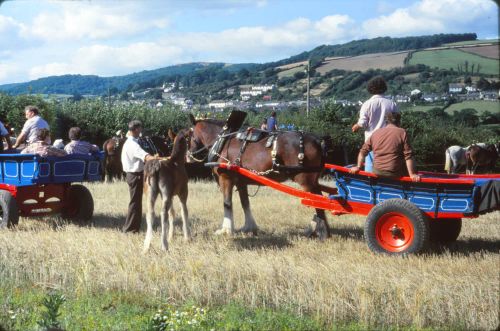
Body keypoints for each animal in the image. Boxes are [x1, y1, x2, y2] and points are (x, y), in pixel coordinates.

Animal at [186, 113, 330, 240]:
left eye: (189, 135)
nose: (188, 156)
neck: (223, 141)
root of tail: (317, 141)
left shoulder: (226, 178)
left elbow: (227, 203)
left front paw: (226, 230)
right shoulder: (241, 182)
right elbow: (245, 203)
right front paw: (249, 227)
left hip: (307, 180)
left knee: (318, 201)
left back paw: (322, 232)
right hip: (313, 181)